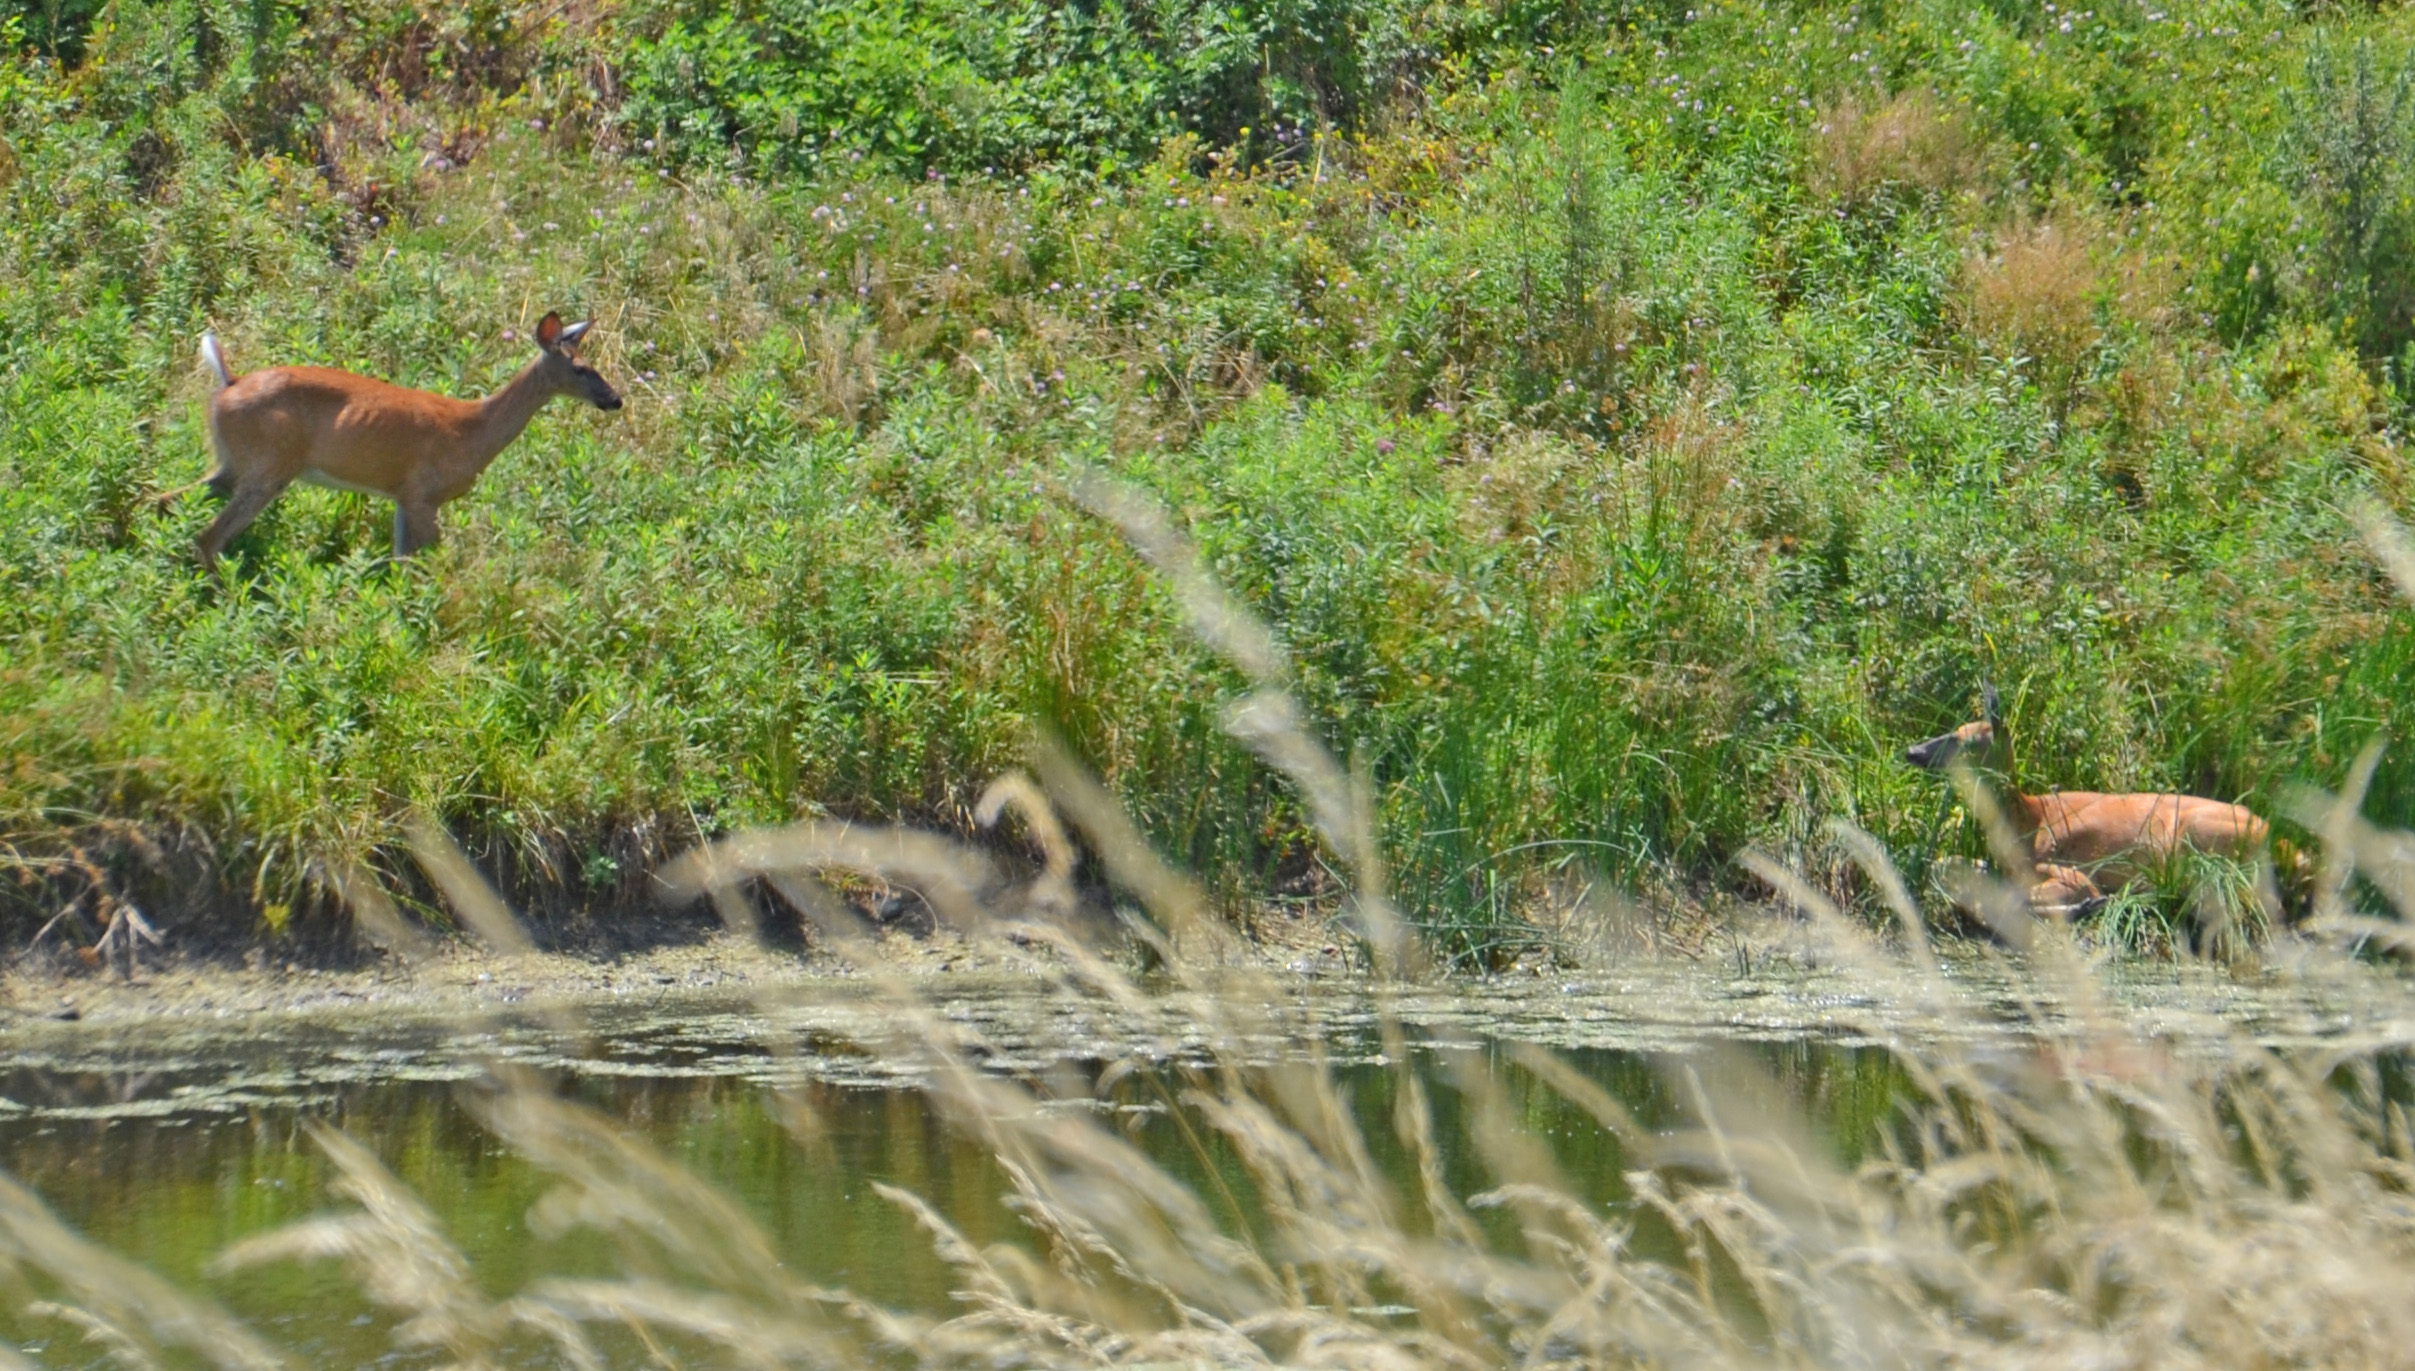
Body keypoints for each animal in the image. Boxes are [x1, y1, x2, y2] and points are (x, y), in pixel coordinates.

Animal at [186, 312, 621, 578]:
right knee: (210, 535)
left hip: (236, 463)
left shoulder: (402, 495)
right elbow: (431, 563)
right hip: (270, 465)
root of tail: (229, 383)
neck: (473, 431)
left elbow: (401, 563)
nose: (615, 399)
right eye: (581, 369)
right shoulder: (424, 494)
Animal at [1905, 685, 2297, 919]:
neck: (2024, 822)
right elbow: (1947, 861)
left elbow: (2025, 895)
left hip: (2192, 838)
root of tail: (2271, 832)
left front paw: (2088, 901)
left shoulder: (2064, 864)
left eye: (1964, 739)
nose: (1912, 750)